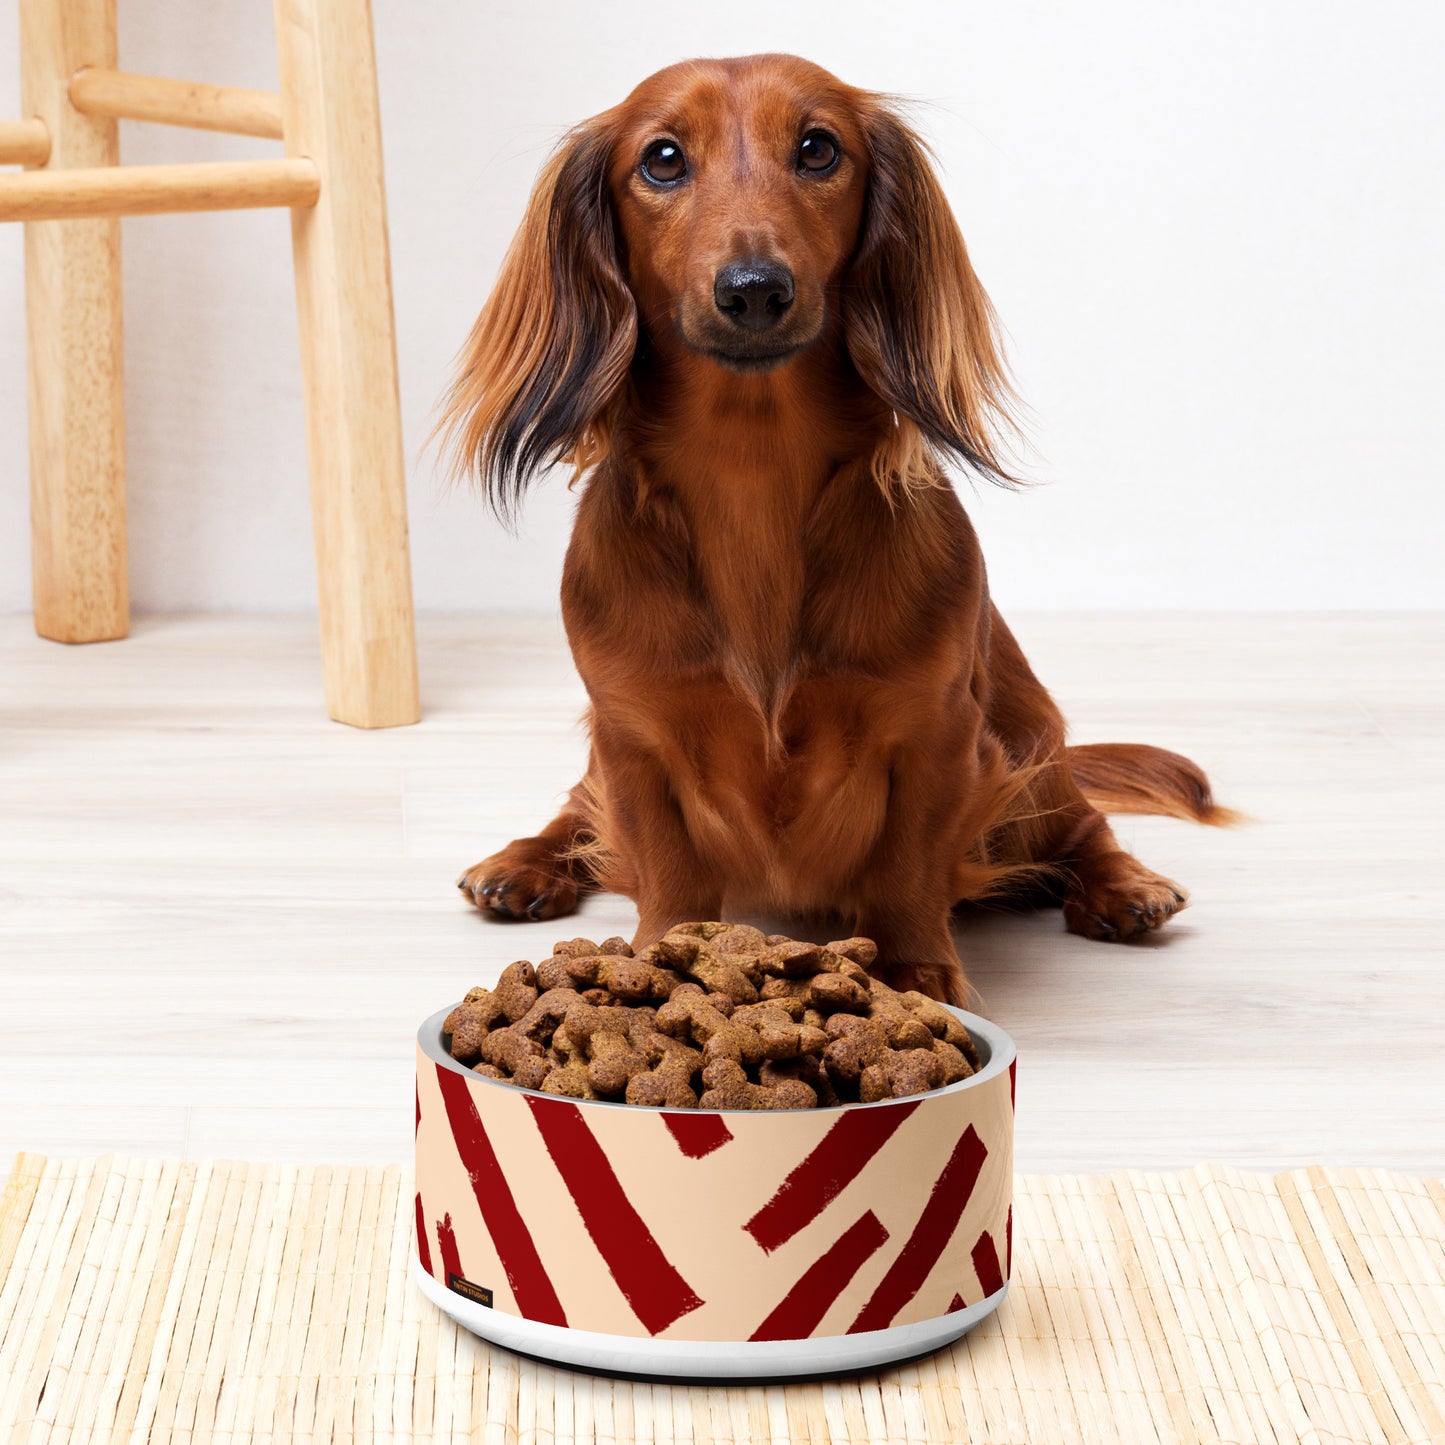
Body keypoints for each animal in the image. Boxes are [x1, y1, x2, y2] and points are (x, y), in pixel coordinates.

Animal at [439, 56, 1231, 1005]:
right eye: (661, 159)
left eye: (818, 148)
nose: (753, 290)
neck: (752, 474)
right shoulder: (632, 735)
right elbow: (664, 865)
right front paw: (661, 958)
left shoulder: (937, 734)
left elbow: (906, 866)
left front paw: (915, 970)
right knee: (576, 810)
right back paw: (523, 863)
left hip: (1028, 744)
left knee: (1081, 823)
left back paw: (1123, 885)